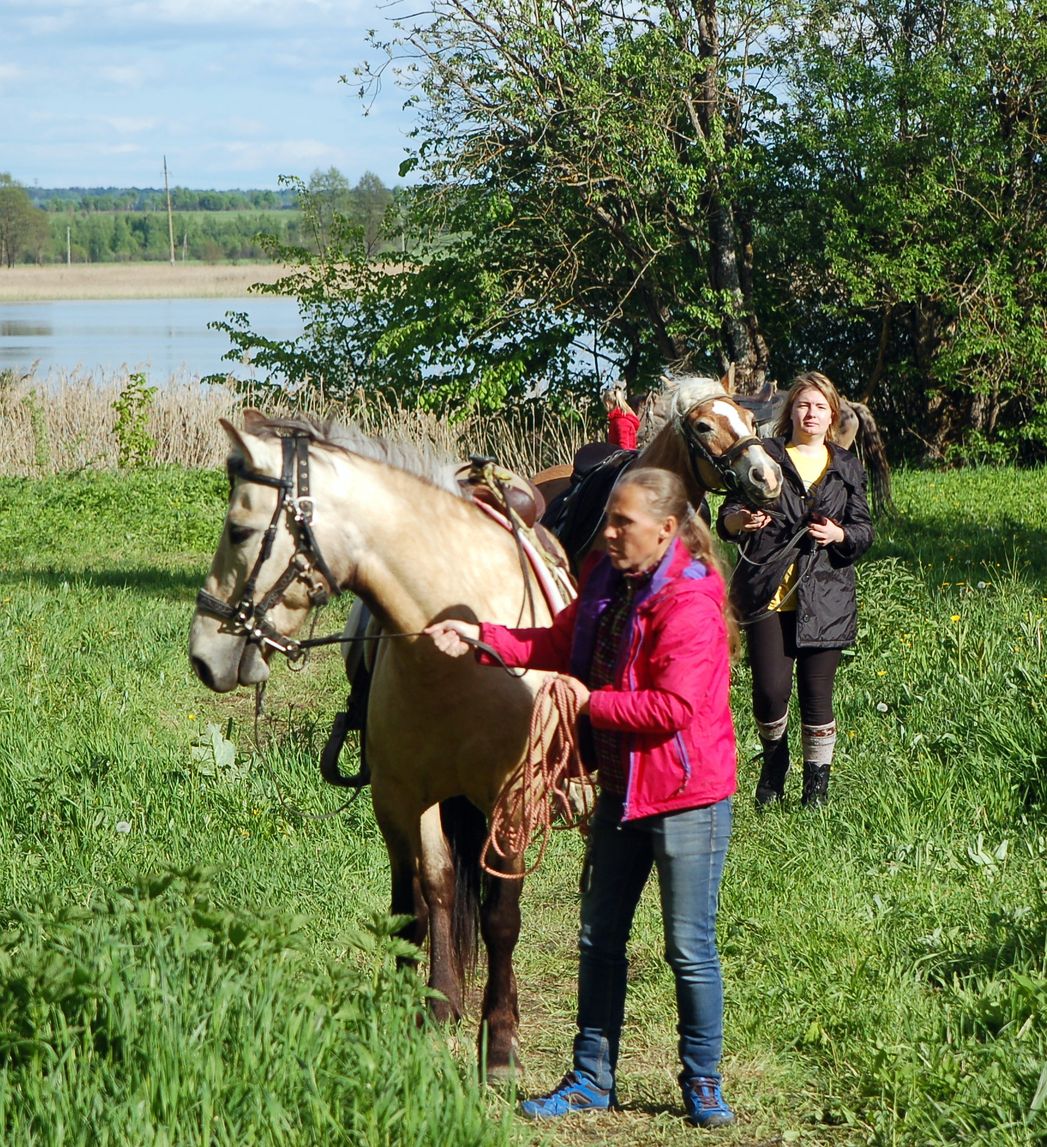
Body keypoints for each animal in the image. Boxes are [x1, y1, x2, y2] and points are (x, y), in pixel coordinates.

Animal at [188, 410, 572, 1078]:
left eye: (238, 530)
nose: (203, 654)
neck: (458, 649)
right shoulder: (399, 799)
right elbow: (424, 897)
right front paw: (429, 1010)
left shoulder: (514, 802)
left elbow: (501, 916)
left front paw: (499, 1044)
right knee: (426, 891)